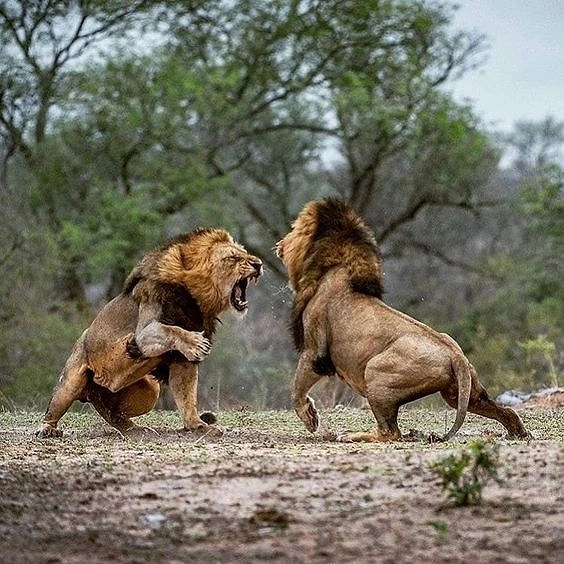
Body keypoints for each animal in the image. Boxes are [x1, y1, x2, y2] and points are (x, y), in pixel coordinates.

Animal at [37, 227, 262, 438]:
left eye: (245, 253)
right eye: (232, 257)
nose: (259, 264)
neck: (197, 301)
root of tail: (94, 392)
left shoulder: (182, 360)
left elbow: (187, 397)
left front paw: (198, 426)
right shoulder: (143, 332)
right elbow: (170, 329)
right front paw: (195, 343)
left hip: (150, 391)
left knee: (115, 414)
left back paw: (136, 429)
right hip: (71, 382)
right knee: (56, 407)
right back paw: (47, 430)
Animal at [276, 200, 532, 442]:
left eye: (294, 229)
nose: (279, 244)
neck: (333, 266)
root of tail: (456, 355)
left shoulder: (314, 351)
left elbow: (296, 389)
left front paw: (310, 419)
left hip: (375, 373)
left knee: (390, 432)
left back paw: (352, 436)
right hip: (462, 394)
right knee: (506, 411)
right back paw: (518, 433)